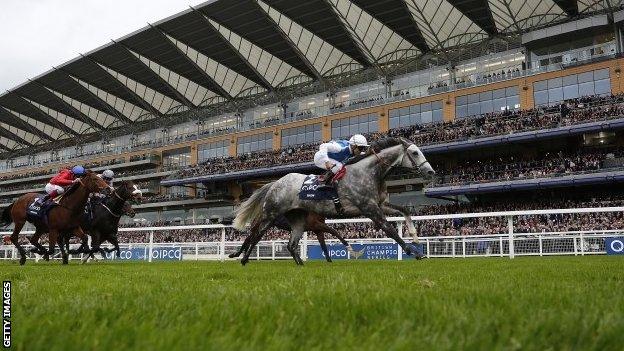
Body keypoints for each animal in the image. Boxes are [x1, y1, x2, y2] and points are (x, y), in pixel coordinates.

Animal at [230, 137, 434, 264]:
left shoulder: (380, 204)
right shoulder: (369, 208)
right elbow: (389, 229)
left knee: (290, 244)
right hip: (271, 214)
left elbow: (404, 211)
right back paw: (243, 258)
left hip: (297, 218)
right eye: (414, 153)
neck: (369, 173)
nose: (431, 171)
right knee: (256, 235)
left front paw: (416, 238)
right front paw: (413, 252)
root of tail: (275, 183)